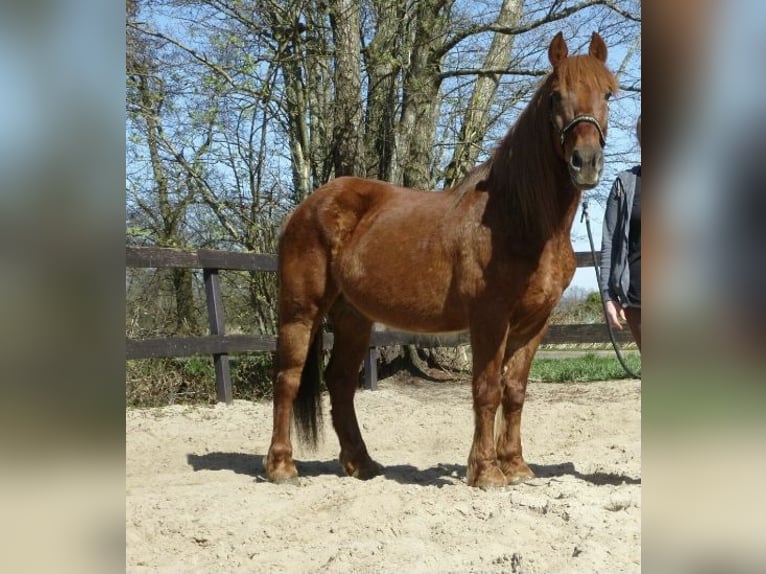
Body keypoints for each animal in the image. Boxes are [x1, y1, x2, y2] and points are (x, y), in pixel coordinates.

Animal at [265, 32, 618, 488]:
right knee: (287, 379)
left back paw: (362, 464)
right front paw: (486, 472)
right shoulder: (490, 318)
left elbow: (515, 391)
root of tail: (306, 208)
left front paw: (516, 466)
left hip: (353, 317)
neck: (518, 218)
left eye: (608, 94)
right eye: (556, 96)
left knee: (340, 382)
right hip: (300, 311)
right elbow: (486, 389)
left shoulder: (535, 324)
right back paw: (281, 467)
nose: (586, 163)